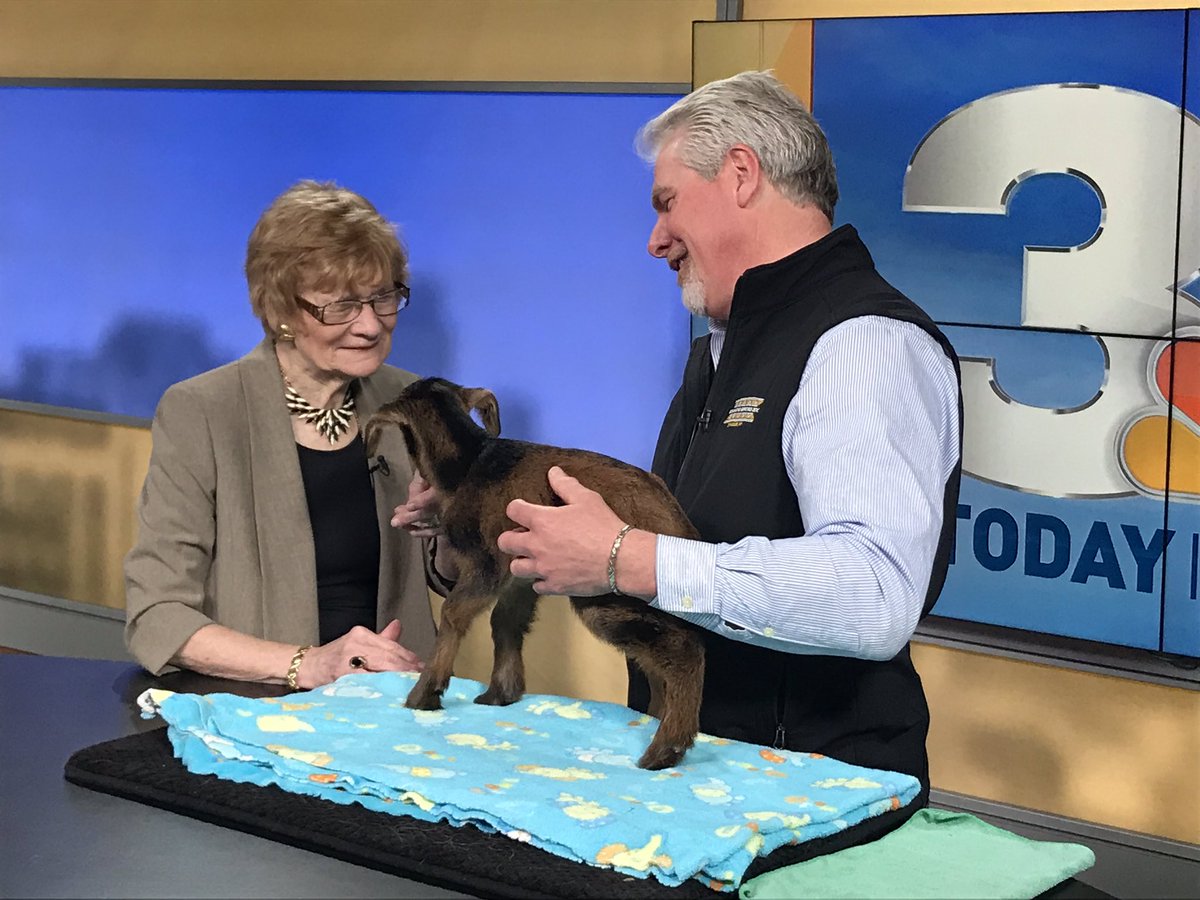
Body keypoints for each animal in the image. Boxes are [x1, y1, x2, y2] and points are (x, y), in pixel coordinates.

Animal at [364, 377, 705, 770]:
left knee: (681, 648)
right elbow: (505, 621)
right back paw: (657, 718)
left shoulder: (486, 564)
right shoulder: (521, 573)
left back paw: (667, 747)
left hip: (606, 593)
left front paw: (425, 692)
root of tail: (677, 525)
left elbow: (453, 612)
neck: (467, 462)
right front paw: (501, 692)